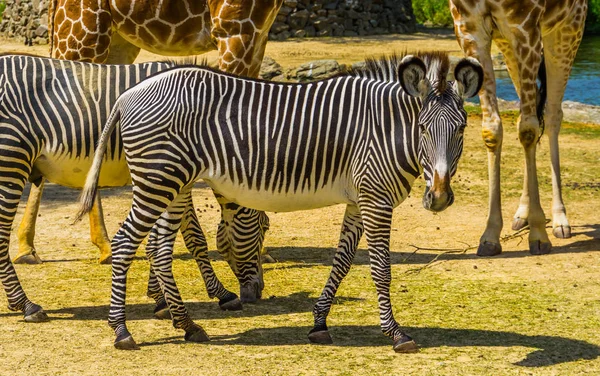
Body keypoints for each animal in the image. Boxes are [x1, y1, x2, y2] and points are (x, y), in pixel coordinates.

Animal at [0, 53, 262, 324]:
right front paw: (221, 294)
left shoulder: (164, 179)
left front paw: (159, 298)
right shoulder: (172, 175)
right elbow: (194, 237)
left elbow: (159, 239)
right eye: (264, 228)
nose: (258, 292)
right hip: (11, 158)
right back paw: (26, 305)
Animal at [78, 51, 482, 352]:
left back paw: (189, 325)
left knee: (160, 249)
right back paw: (122, 331)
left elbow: (342, 262)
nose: (439, 198)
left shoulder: (359, 200)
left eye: (462, 128)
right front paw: (396, 333)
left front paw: (319, 324)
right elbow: (380, 268)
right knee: (125, 242)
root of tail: (128, 94)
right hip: (158, 179)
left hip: (174, 184)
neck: (384, 129)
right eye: (423, 129)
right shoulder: (376, 198)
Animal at [450, 0, 584, 256]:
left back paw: (560, 220)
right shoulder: (470, 29)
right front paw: (490, 235)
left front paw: (539, 235)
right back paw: (522, 214)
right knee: (530, 110)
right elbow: (492, 129)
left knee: (552, 115)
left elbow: (528, 131)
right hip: (507, 44)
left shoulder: (526, 27)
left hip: (567, 31)